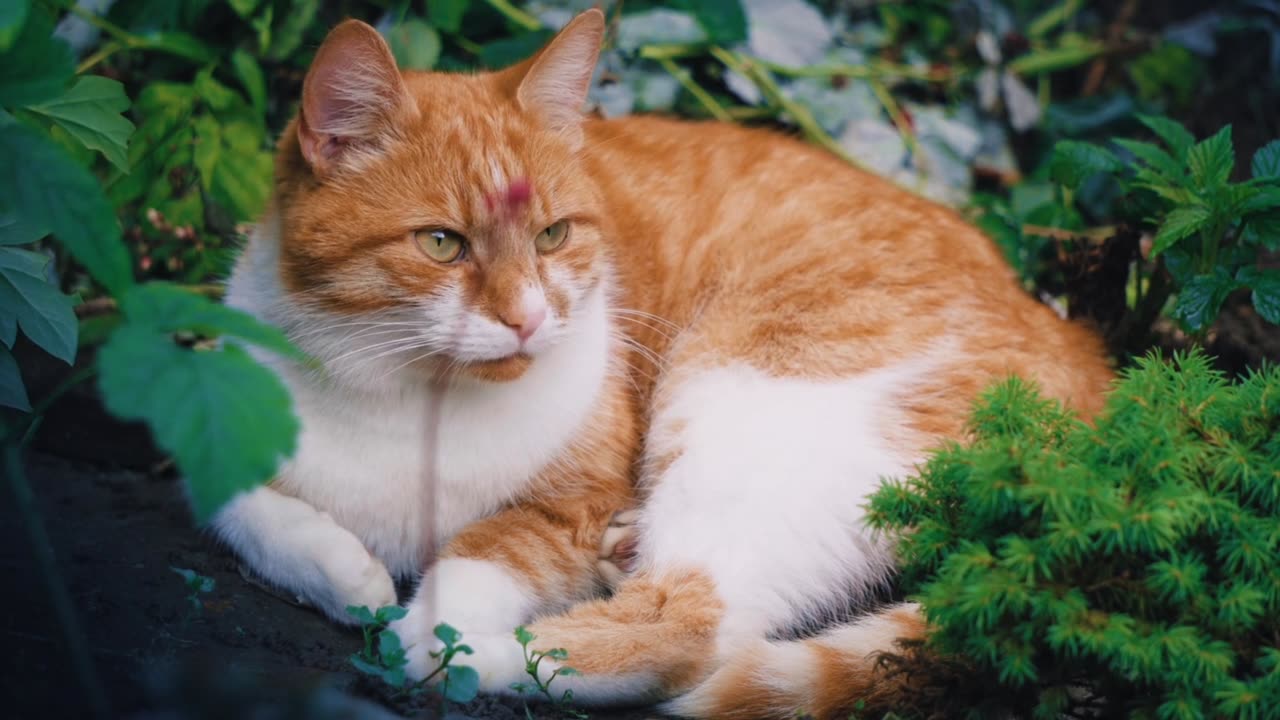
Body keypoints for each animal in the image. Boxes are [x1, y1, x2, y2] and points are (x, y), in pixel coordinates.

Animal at [217, 7, 1111, 717]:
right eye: (441, 243)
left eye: (554, 236)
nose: (529, 318)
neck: (408, 396)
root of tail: (1088, 355)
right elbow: (236, 503)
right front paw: (347, 572)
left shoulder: (568, 508)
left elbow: (483, 555)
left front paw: (425, 627)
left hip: (744, 394)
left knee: (689, 631)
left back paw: (483, 656)